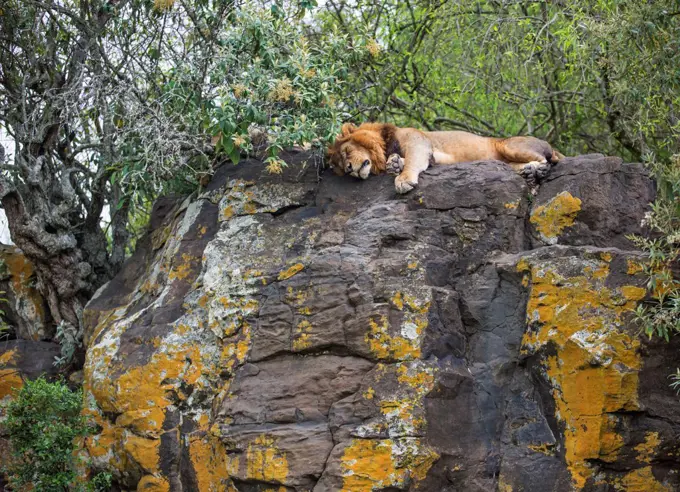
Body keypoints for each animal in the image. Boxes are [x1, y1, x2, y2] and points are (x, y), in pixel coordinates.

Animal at [328, 122, 564, 193]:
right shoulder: (431, 155)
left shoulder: (418, 142)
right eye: (341, 164)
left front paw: (403, 179)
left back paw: (537, 171)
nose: (350, 169)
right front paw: (395, 163)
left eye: (346, 152)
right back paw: (528, 172)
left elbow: (412, 161)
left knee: (550, 159)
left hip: (508, 145)